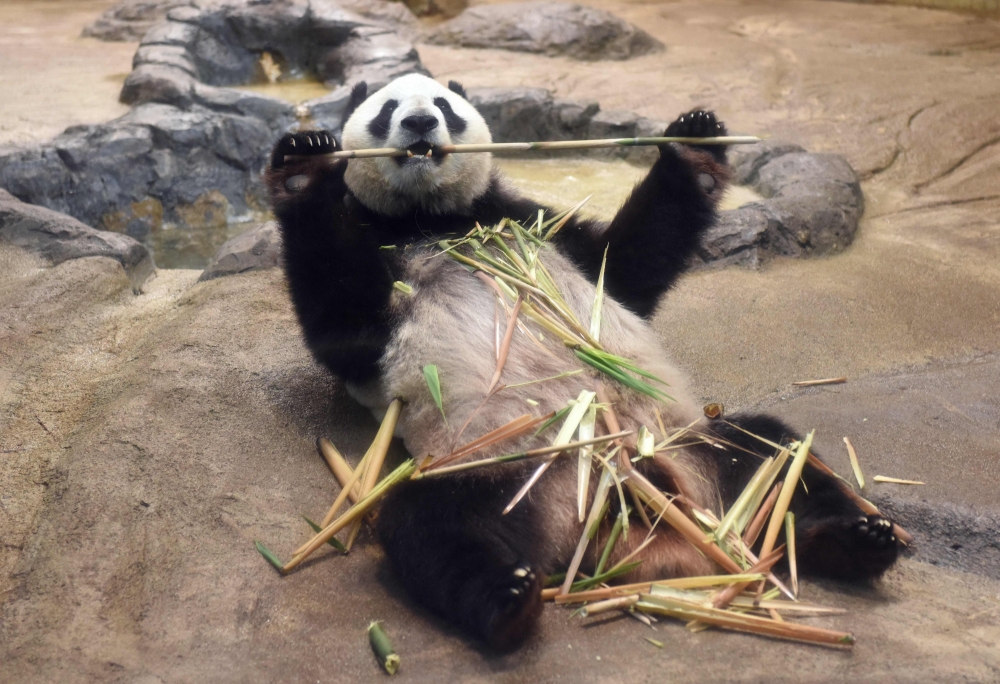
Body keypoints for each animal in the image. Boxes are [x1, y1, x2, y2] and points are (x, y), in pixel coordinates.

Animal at [264, 73, 900, 652]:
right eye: (388, 107)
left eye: (443, 105)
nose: (420, 123)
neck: (431, 217)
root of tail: (618, 505)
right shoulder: (378, 262)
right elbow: (343, 325)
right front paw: (303, 165)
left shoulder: (531, 221)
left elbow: (625, 266)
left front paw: (694, 142)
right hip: (511, 468)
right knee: (435, 524)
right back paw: (508, 600)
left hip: (686, 443)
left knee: (775, 453)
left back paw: (857, 537)